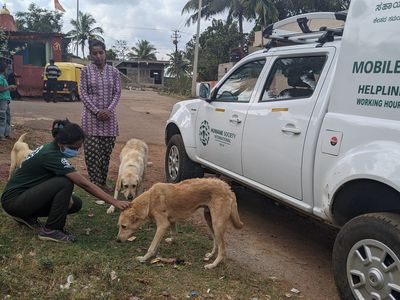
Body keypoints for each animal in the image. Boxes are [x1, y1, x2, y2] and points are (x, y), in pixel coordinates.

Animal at [116, 178, 244, 270]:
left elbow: (151, 247)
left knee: (223, 250)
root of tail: (228, 188)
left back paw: (213, 265)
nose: (117, 240)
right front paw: (171, 241)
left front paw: (143, 258)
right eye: (120, 226)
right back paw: (211, 255)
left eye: (124, 226)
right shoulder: (171, 221)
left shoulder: (162, 225)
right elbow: (174, 233)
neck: (150, 200)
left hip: (217, 224)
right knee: (216, 242)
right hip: (210, 221)